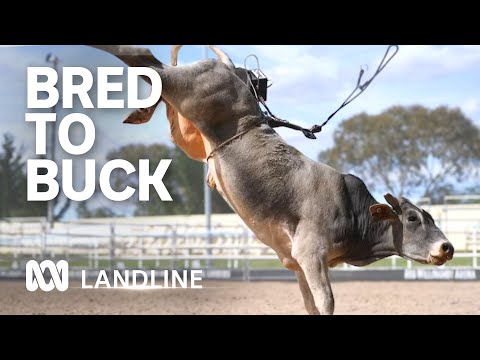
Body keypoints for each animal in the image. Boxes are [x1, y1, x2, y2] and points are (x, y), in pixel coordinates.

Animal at [89, 45, 454, 316]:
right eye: (412, 218)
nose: (447, 247)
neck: (352, 210)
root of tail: (231, 72)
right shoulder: (311, 254)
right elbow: (326, 302)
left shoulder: (299, 264)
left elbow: (311, 304)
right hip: (189, 89)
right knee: (144, 57)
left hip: (184, 116)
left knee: (151, 67)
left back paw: (142, 110)